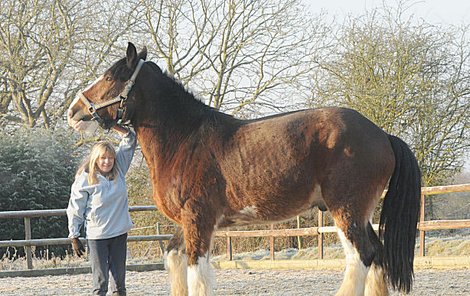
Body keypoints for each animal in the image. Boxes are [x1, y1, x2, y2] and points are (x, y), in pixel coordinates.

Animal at [67, 42, 422, 296]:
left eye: (110, 76)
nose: (74, 111)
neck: (185, 138)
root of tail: (382, 135)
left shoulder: (199, 219)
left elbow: (197, 275)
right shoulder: (188, 222)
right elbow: (174, 258)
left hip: (345, 210)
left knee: (360, 256)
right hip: (360, 214)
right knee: (376, 256)